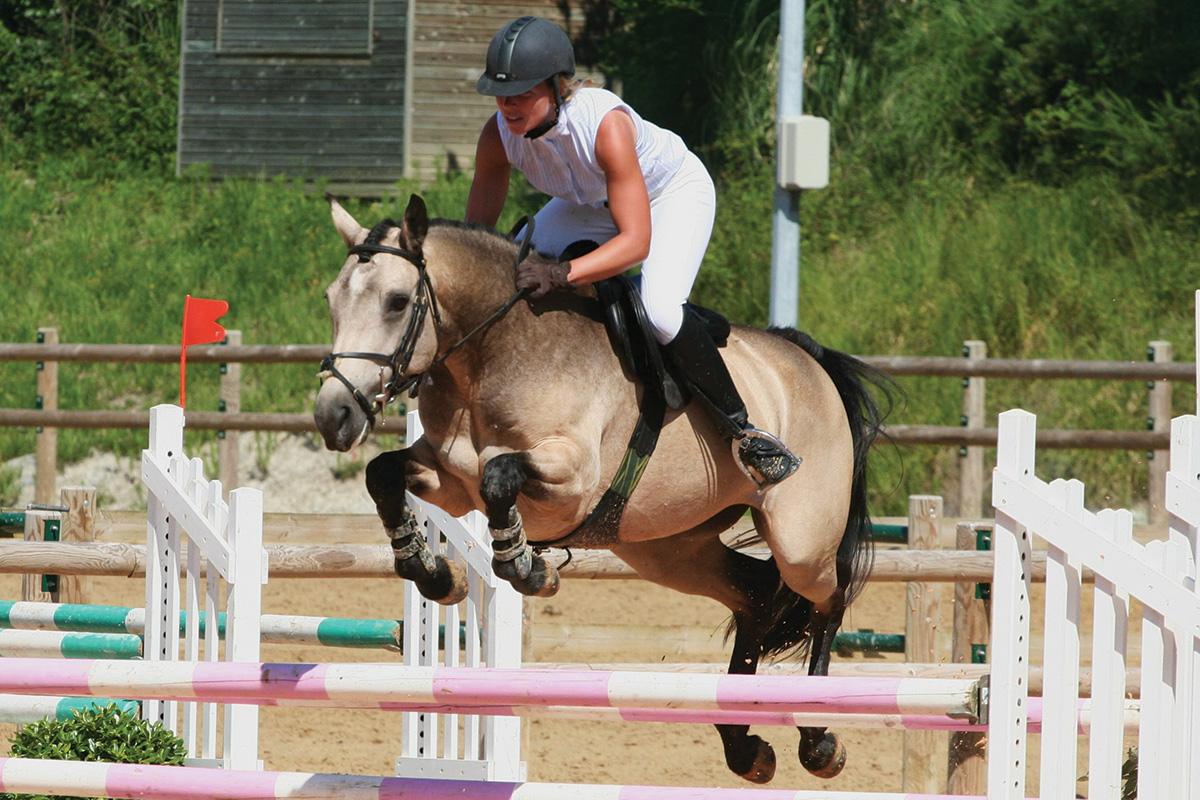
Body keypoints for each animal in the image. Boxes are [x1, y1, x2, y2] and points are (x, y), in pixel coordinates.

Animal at [314, 196, 897, 786]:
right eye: (332, 300)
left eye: (397, 301)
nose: (333, 417)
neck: (494, 354)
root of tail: (808, 358)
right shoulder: (452, 484)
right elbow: (383, 475)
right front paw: (436, 573)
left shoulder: (571, 479)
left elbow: (500, 475)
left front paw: (529, 567)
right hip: (668, 549)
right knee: (756, 594)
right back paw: (744, 745)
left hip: (800, 540)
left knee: (828, 597)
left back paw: (818, 737)